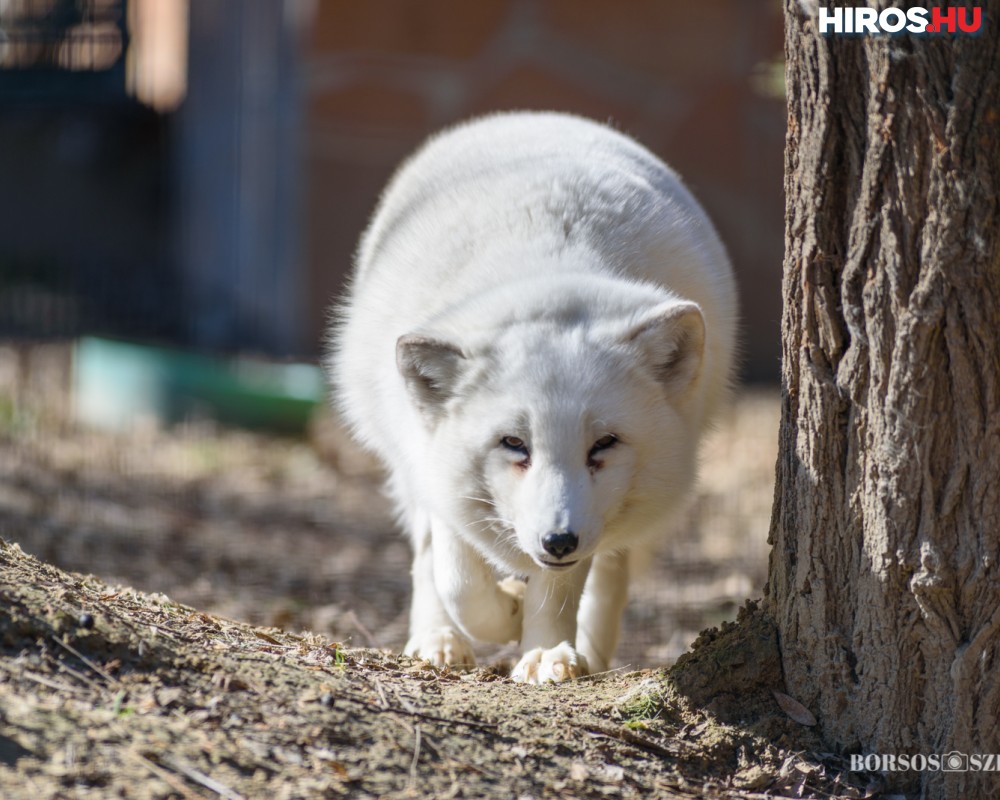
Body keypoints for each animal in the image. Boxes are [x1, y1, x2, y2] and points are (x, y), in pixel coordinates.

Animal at [328, 112, 736, 684]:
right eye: (513, 444)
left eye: (604, 444)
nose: (557, 541)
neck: (546, 274)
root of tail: (538, 115)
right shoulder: (434, 460)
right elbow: (457, 576)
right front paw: (507, 611)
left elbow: (563, 585)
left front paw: (544, 648)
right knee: (428, 556)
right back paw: (438, 640)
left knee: (611, 570)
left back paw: (589, 650)